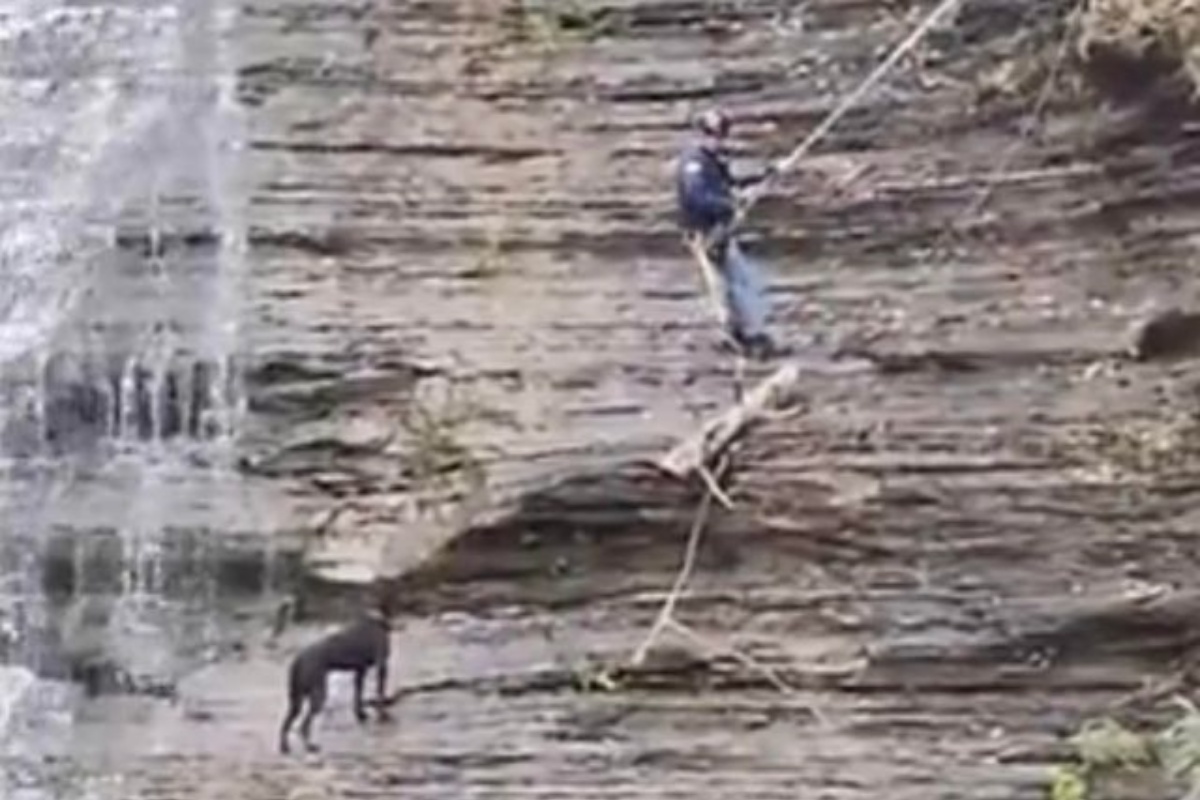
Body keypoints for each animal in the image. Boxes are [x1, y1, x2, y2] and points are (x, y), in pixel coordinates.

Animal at [276, 609, 388, 753]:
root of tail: (299, 659)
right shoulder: (382, 666)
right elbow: (380, 695)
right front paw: (383, 716)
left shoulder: (360, 671)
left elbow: (358, 695)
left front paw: (361, 715)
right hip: (318, 694)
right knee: (304, 725)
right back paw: (310, 746)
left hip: (297, 699)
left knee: (286, 723)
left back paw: (285, 747)